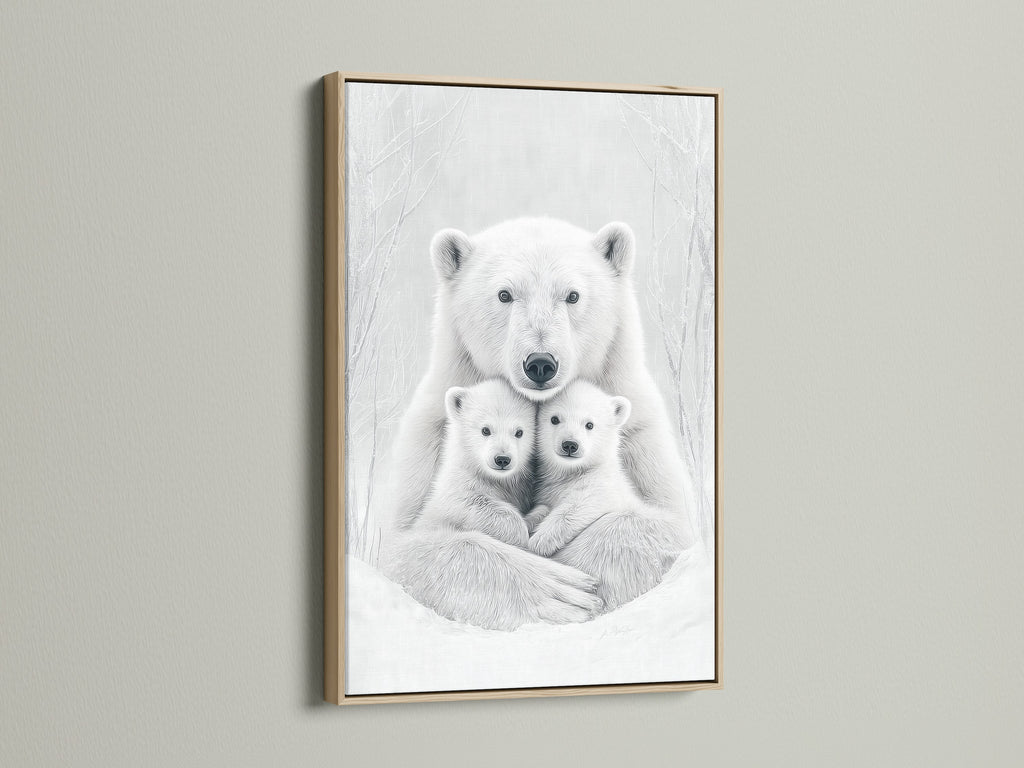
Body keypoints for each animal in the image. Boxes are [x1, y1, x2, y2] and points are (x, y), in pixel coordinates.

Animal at [416, 379, 534, 549]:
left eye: (519, 432)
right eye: (485, 430)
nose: (502, 459)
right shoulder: (460, 481)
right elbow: (468, 501)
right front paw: (521, 535)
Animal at [527, 380, 685, 609]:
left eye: (589, 424)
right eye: (554, 419)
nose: (570, 445)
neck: (573, 472)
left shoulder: (604, 485)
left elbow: (581, 504)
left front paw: (539, 542)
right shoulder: (549, 489)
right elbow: (544, 506)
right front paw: (531, 521)